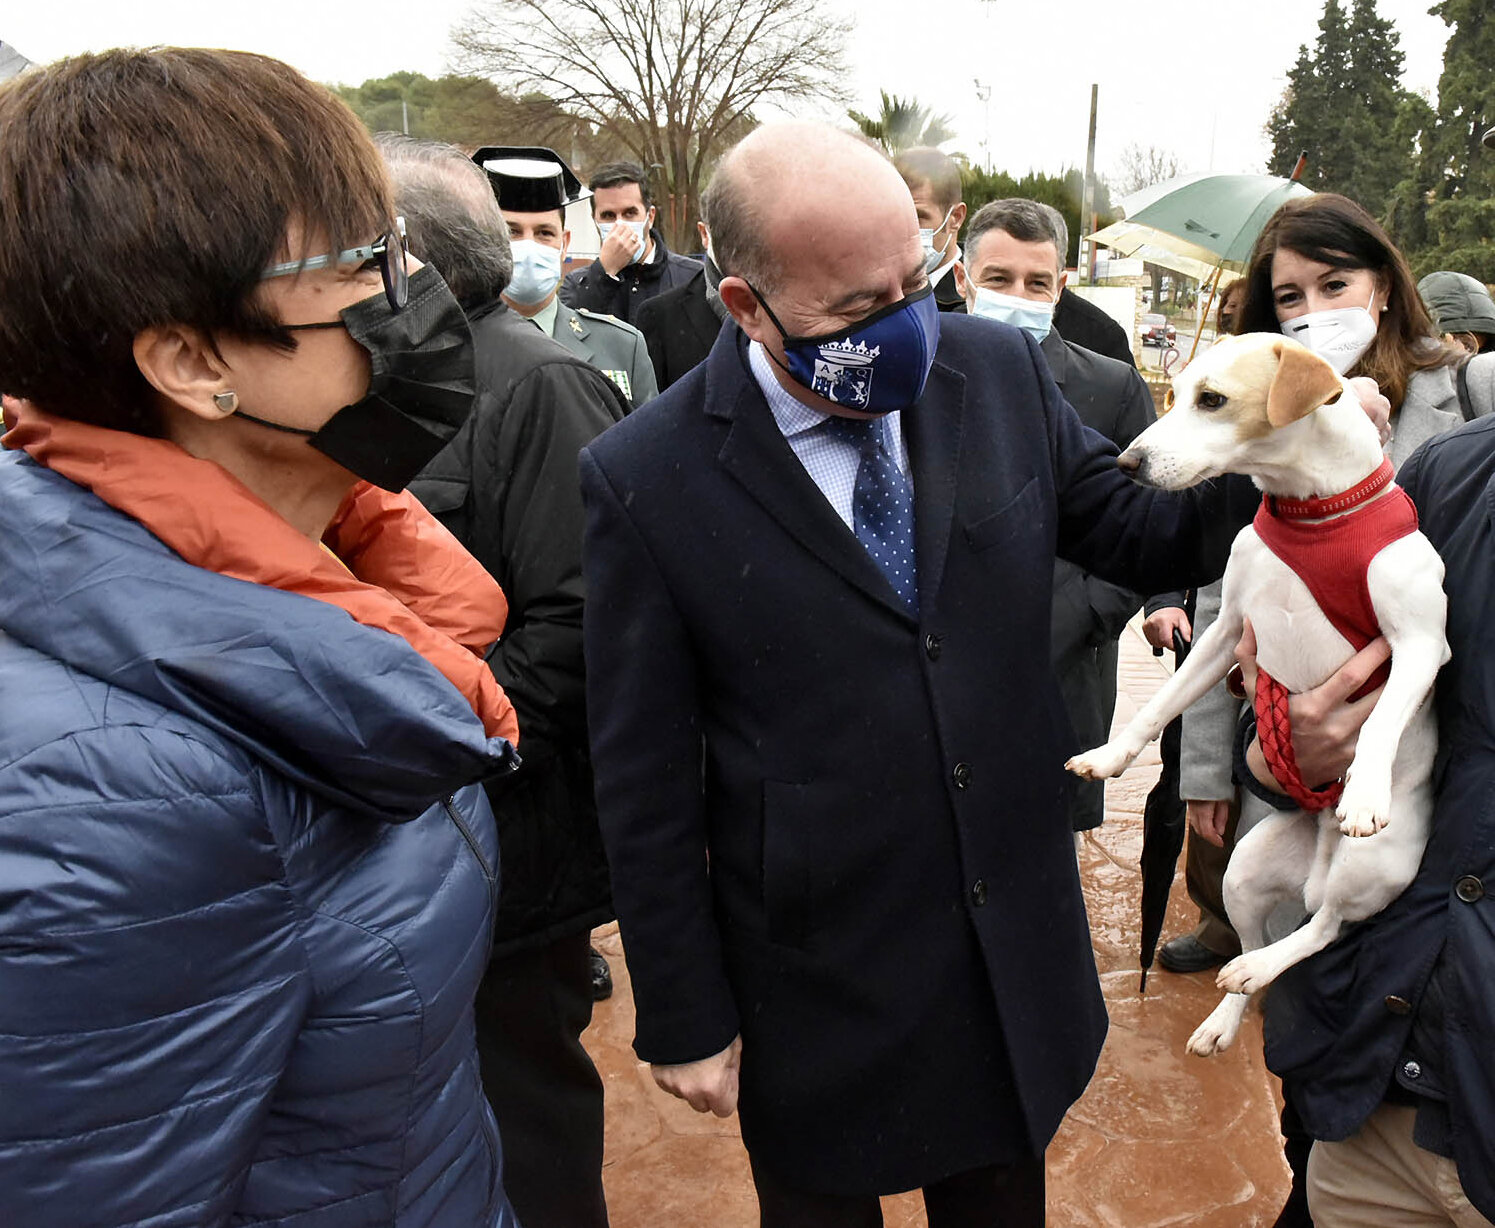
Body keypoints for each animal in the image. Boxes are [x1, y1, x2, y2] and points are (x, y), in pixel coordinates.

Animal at [1064, 333, 1447, 1052]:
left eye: (1212, 400)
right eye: (1176, 393)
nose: (1127, 463)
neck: (1312, 515)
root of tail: (1319, 859)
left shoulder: (1419, 645)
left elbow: (1379, 722)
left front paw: (1364, 791)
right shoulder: (1225, 633)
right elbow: (1161, 706)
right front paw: (1108, 757)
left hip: (1372, 866)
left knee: (1322, 928)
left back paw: (1273, 950)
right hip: (1243, 871)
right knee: (1258, 941)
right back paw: (1227, 1008)